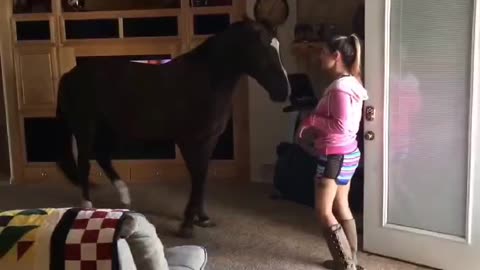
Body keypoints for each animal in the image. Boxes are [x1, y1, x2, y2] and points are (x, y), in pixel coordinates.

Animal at [54, 16, 290, 237]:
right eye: (263, 48)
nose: (284, 91)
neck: (206, 80)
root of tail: (68, 75)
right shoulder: (189, 141)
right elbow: (197, 176)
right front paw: (187, 225)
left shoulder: (209, 140)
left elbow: (202, 177)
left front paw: (202, 218)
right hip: (86, 128)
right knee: (84, 163)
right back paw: (87, 207)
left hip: (109, 129)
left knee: (103, 157)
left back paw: (125, 197)